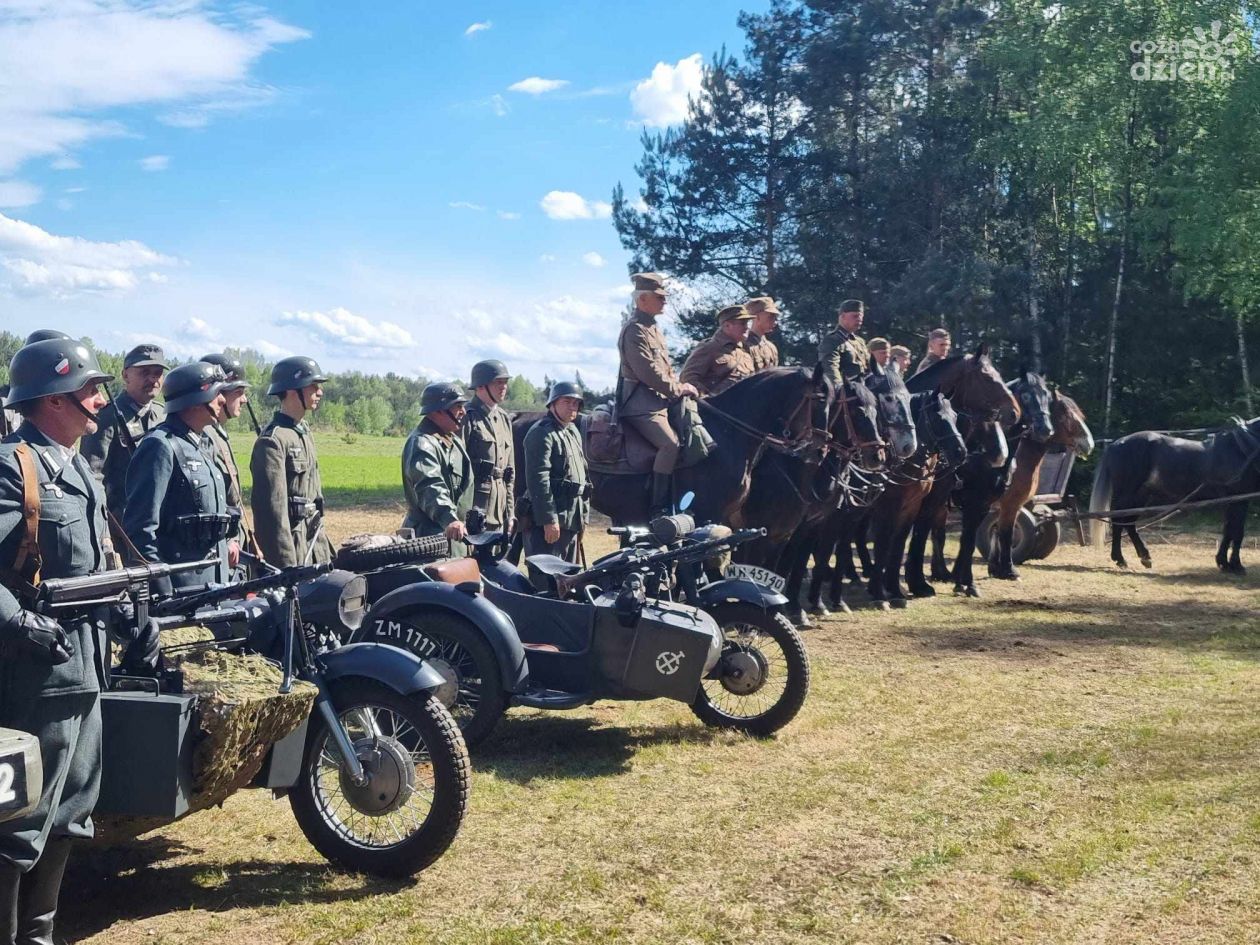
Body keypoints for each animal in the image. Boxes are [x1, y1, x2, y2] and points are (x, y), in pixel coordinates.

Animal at [992, 385, 1093, 582]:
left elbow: (996, 533)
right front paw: (1009, 570)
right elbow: (1006, 535)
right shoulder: (1010, 505)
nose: (1089, 444)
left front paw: (995, 569)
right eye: (1065, 416)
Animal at [1088, 415, 1254, 577]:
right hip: (1127, 494)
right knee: (1118, 521)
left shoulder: (1236, 500)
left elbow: (1229, 530)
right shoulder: (1238, 499)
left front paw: (1224, 563)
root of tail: (1116, 444)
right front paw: (1236, 565)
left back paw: (1144, 557)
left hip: (1140, 496)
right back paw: (1121, 559)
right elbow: (1237, 531)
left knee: (1128, 523)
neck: (1242, 449)